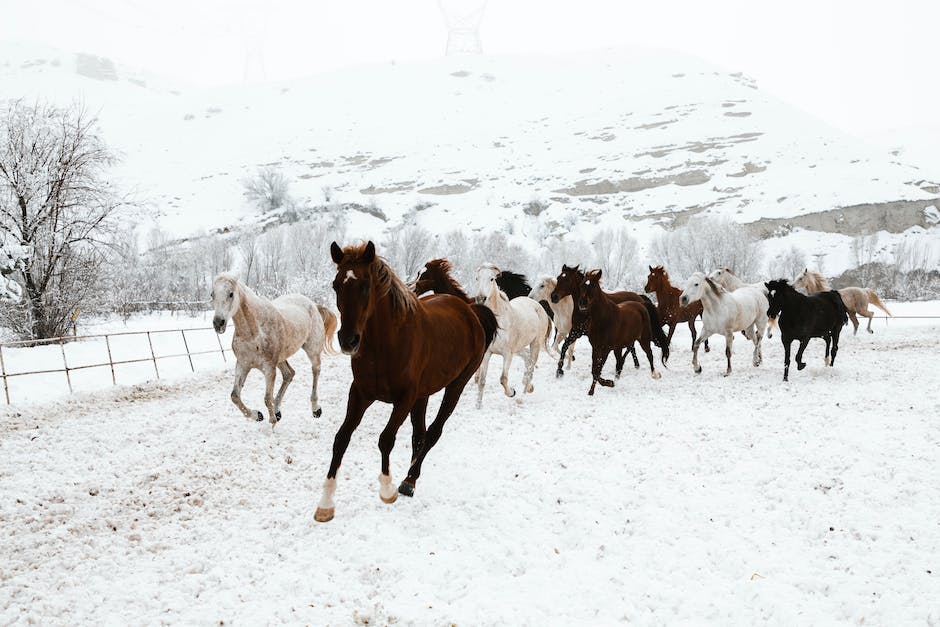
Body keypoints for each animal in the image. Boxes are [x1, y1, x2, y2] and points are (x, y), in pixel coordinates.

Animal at [210, 274, 338, 426]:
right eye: (212, 294)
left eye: (231, 294)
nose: (218, 323)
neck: (253, 333)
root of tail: (313, 304)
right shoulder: (243, 364)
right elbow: (235, 396)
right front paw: (258, 415)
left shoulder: (269, 368)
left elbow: (267, 399)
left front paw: (272, 425)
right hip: (281, 359)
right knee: (289, 374)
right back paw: (278, 411)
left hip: (312, 350)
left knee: (315, 371)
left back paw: (315, 409)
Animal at [316, 243, 500, 524]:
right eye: (336, 285)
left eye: (365, 285)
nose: (348, 340)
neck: (387, 344)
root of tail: (470, 311)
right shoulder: (360, 393)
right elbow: (342, 438)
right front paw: (325, 504)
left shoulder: (405, 398)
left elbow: (386, 439)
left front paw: (387, 489)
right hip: (424, 394)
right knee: (419, 435)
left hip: (455, 386)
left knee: (433, 432)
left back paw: (409, 480)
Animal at [470, 264, 552, 408]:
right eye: (477, 278)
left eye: (492, 278)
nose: (480, 299)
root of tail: (539, 306)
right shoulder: (487, 353)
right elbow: (482, 380)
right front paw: (478, 406)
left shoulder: (507, 354)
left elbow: (503, 378)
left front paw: (512, 392)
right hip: (519, 348)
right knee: (527, 360)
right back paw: (529, 387)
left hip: (535, 344)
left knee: (531, 367)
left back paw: (522, 397)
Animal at [576, 270, 664, 398]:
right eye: (582, 284)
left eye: (593, 285)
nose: (582, 303)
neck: (603, 319)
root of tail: (642, 304)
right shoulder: (596, 348)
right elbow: (594, 371)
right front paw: (592, 391)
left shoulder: (606, 349)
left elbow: (597, 371)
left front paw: (608, 384)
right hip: (619, 346)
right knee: (620, 359)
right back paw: (617, 377)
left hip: (643, 339)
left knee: (649, 354)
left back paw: (654, 374)